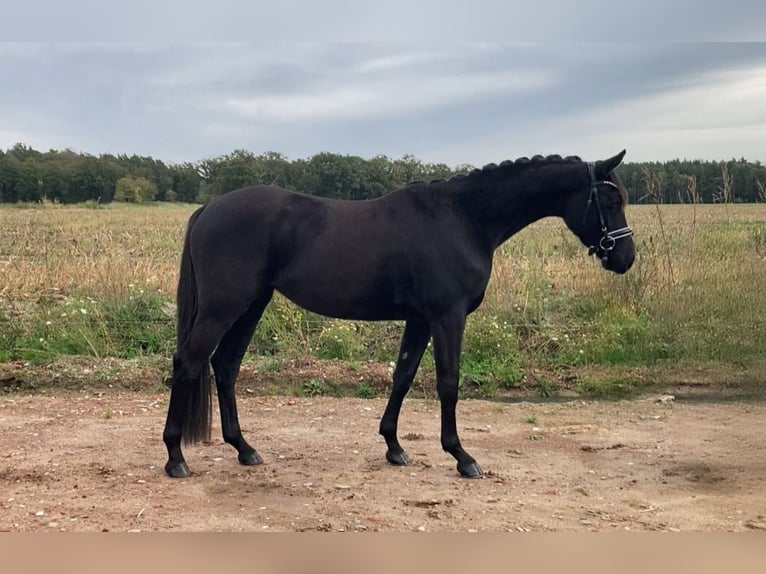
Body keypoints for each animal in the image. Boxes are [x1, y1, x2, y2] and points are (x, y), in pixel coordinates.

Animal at [162, 150, 636, 482]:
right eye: (610, 197)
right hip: (224, 307)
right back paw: (176, 457)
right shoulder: (447, 316)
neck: (464, 218)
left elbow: (403, 376)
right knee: (189, 362)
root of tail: (208, 209)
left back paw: (244, 449)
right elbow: (448, 383)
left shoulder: (420, 319)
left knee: (225, 366)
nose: (626, 258)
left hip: (251, 305)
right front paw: (462, 457)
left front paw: (393, 447)